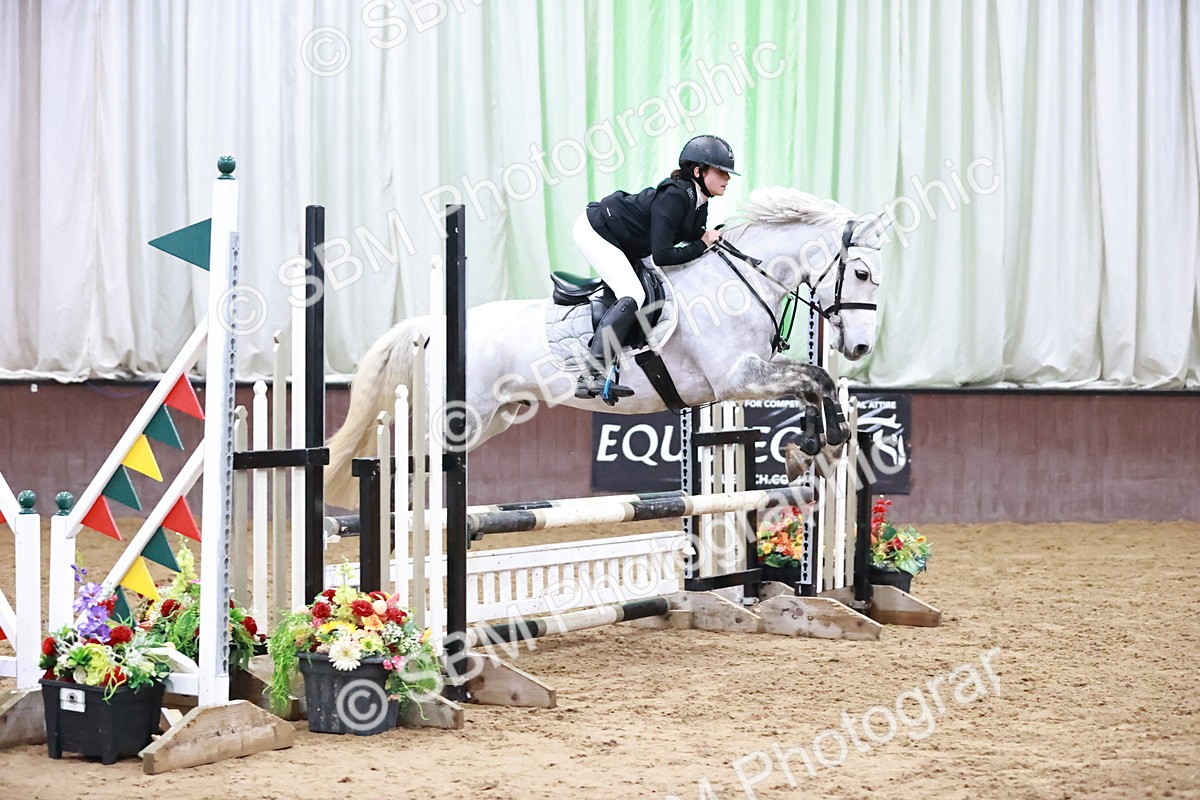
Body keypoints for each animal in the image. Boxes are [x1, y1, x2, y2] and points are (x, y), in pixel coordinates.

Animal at [325, 187, 889, 508]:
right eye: (862, 273)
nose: (860, 346)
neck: (739, 281)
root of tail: (435, 325)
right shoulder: (735, 377)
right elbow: (813, 378)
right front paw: (829, 436)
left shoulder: (751, 373)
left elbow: (810, 382)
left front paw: (810, 445)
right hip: (458, 415)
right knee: (413, 463)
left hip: (493, 417)